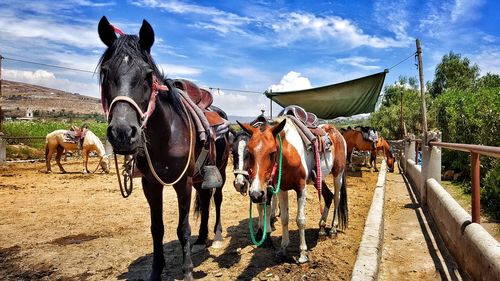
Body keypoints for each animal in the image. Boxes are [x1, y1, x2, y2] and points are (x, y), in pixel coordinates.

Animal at [96, 16, 229, 278]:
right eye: (105, 72)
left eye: (148, 75)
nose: (122, 133)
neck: (166, 135)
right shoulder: (151, 184)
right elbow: (156, 228)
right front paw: (156, 271)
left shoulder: (182, 183)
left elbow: (183, 227)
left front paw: (187, 271)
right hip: (199, 177)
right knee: (205, 199)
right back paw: (202, 239)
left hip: (220, 171)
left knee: (216, 199)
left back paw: (216, 237)